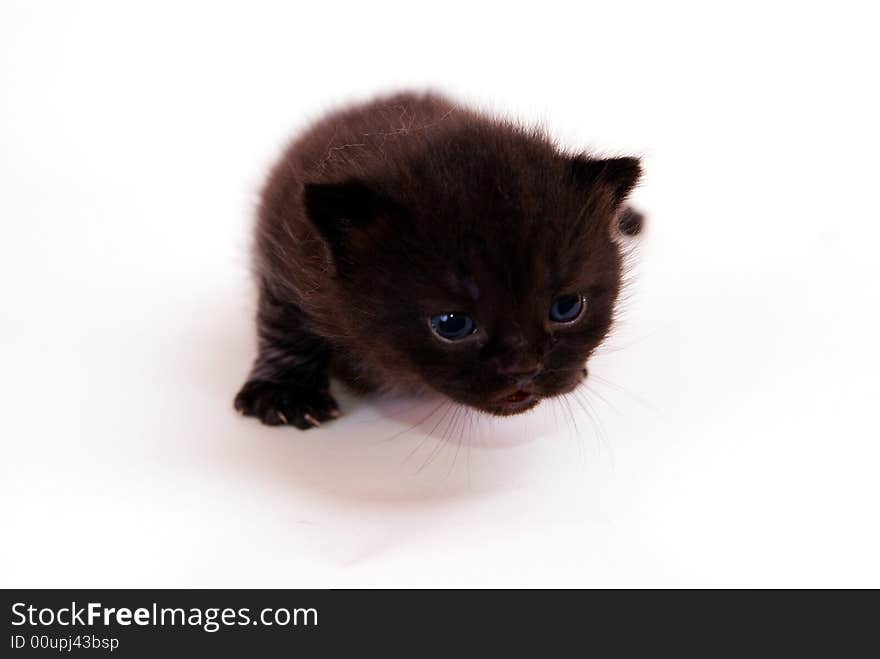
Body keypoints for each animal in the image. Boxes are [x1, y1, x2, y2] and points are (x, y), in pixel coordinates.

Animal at [237, 94, 644, 434]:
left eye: (567, 307)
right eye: (452, 324)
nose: (524, 369)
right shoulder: (285, 252)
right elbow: (284, 325)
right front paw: (286, 393)